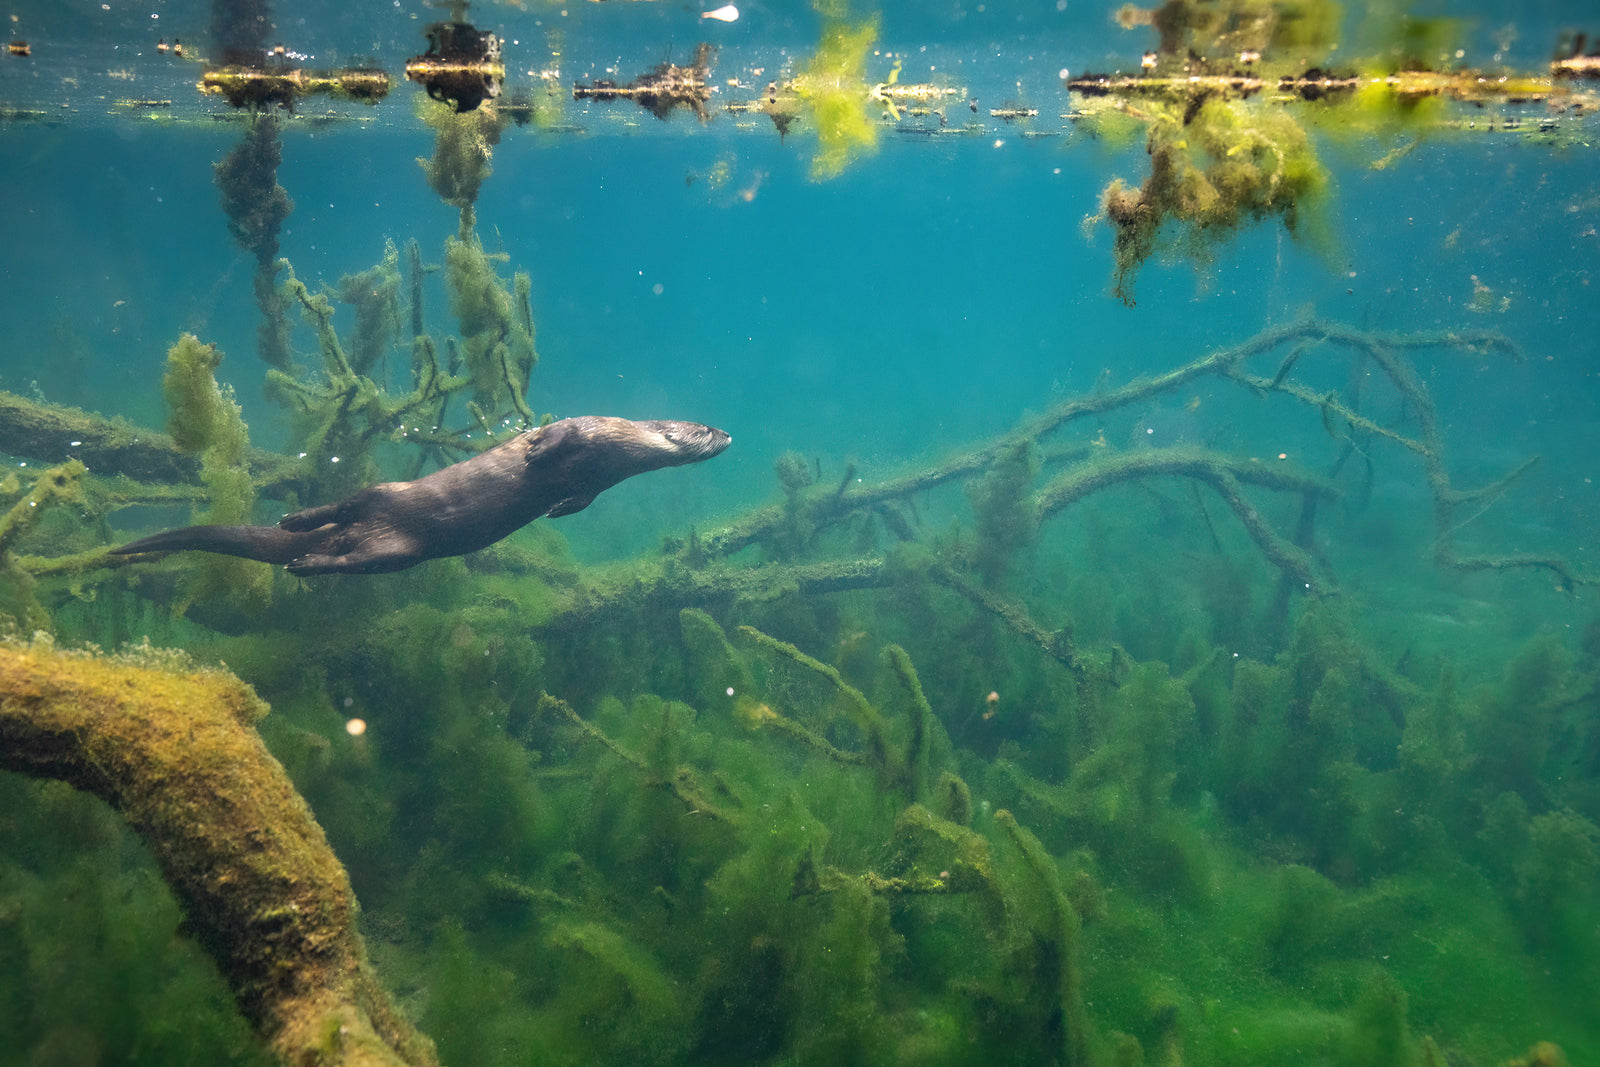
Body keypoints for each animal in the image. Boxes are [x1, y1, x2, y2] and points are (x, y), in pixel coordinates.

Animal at [110, 416, 731, 575]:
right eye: (703, 428)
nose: (728, 435)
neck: (620, 445)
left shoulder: (595, 484)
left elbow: (579, 501)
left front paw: (557, 506)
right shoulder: (585, 426)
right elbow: (551, 437)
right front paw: (534, 456)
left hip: (397, 555)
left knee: (350, 559)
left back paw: (305, 562)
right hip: (385, 494)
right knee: (346, 504)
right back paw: (294, 520)